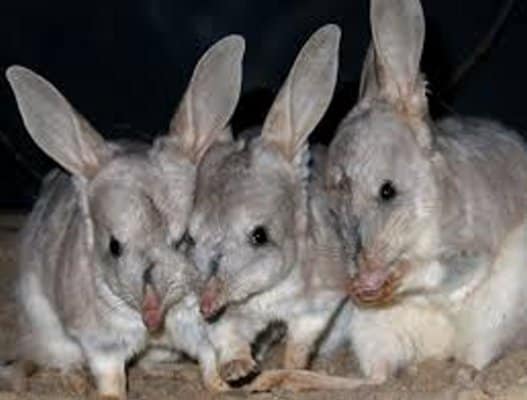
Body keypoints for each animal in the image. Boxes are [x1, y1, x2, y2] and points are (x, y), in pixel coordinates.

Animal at [6, 34, 244, 399]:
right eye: (114, 247)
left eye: (185, 241)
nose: (151, 317)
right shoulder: (101, 341)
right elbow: (111, 375)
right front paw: (110, 395)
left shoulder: (201, 326)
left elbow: (209, 359)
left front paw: (222, 387)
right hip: (49, 333)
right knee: (61, 360)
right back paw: (75, 379)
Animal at [186, 24, 353, 390]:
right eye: (190, 238)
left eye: (260, 236)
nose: (205, 306)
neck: (264, 295)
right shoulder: (230, 316)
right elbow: (227, 337)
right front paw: (238, 369)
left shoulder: (318, 302)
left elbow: (300, 343)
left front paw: (289, 370)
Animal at [326, 0, 527, 384]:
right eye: (334, 201)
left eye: (388, 191)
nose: (367, 270)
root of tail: (436, 351)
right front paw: (361, 285)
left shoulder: (471, 243)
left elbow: (441, 268)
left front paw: (384, 279)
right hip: (372, 330)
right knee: (377, 377)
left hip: (495, 320)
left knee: (475, 358)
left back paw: (464, 376)